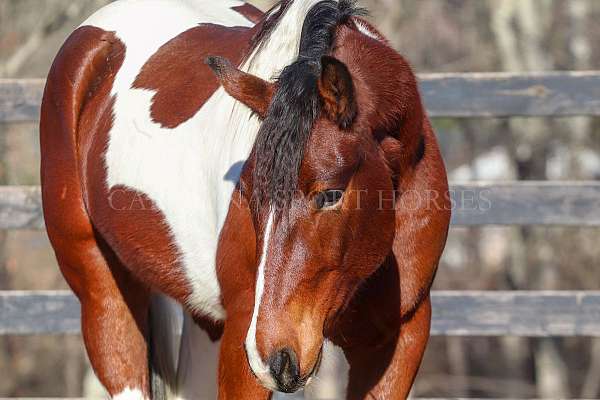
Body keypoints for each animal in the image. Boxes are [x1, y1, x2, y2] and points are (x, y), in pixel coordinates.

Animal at [41, 0, 450, 398]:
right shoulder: (242, 334)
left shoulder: (398, 339)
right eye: (248, 194)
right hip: (104, 297)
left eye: (331, 194)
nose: (276, 358)